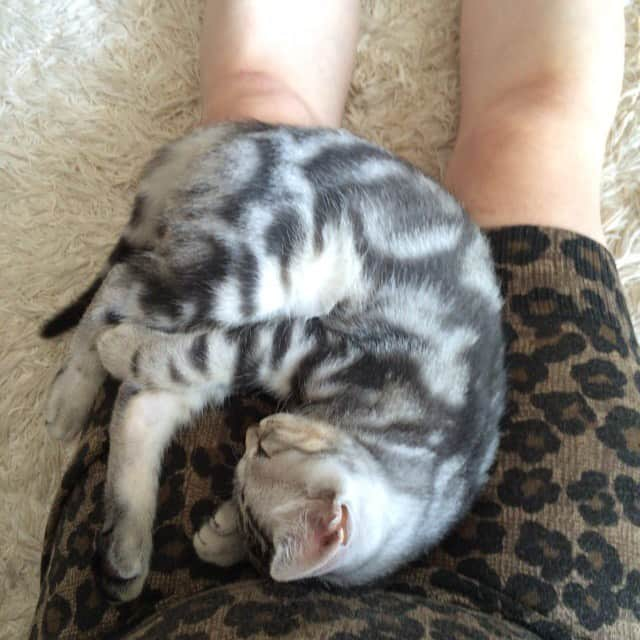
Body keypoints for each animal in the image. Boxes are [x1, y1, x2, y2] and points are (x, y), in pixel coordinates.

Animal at [42, 122, 508, 604]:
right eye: (265, 447)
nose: (254, 431)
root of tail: (245, 130)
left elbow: (181, 366)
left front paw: (221, 537)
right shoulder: (302, 344)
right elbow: (187, 355)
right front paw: (118, 348)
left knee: (138, 404)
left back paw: (125, 546)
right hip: (249, 272)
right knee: (119, 287)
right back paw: (74, 389)